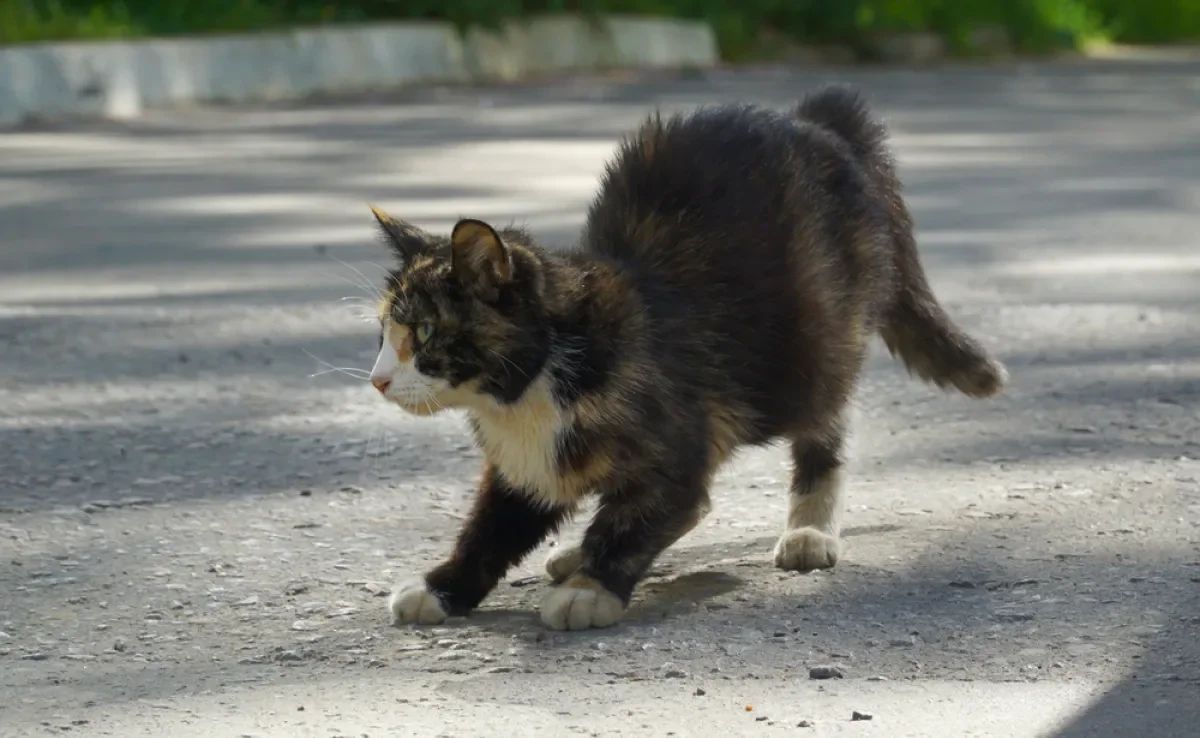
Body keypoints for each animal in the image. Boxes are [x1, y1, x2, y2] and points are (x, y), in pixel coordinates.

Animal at [364, 84, 1003, 633]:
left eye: (424, 330)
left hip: (813, 347)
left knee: (826, 424)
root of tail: (816, 121)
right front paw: (442, 587)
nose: (377, 380)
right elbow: (489, 530)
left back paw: (809, 530)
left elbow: (644, 515)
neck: (530, 389)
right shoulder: (524, 468)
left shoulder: (676, 439)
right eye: (383, 331)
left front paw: (591, 587)